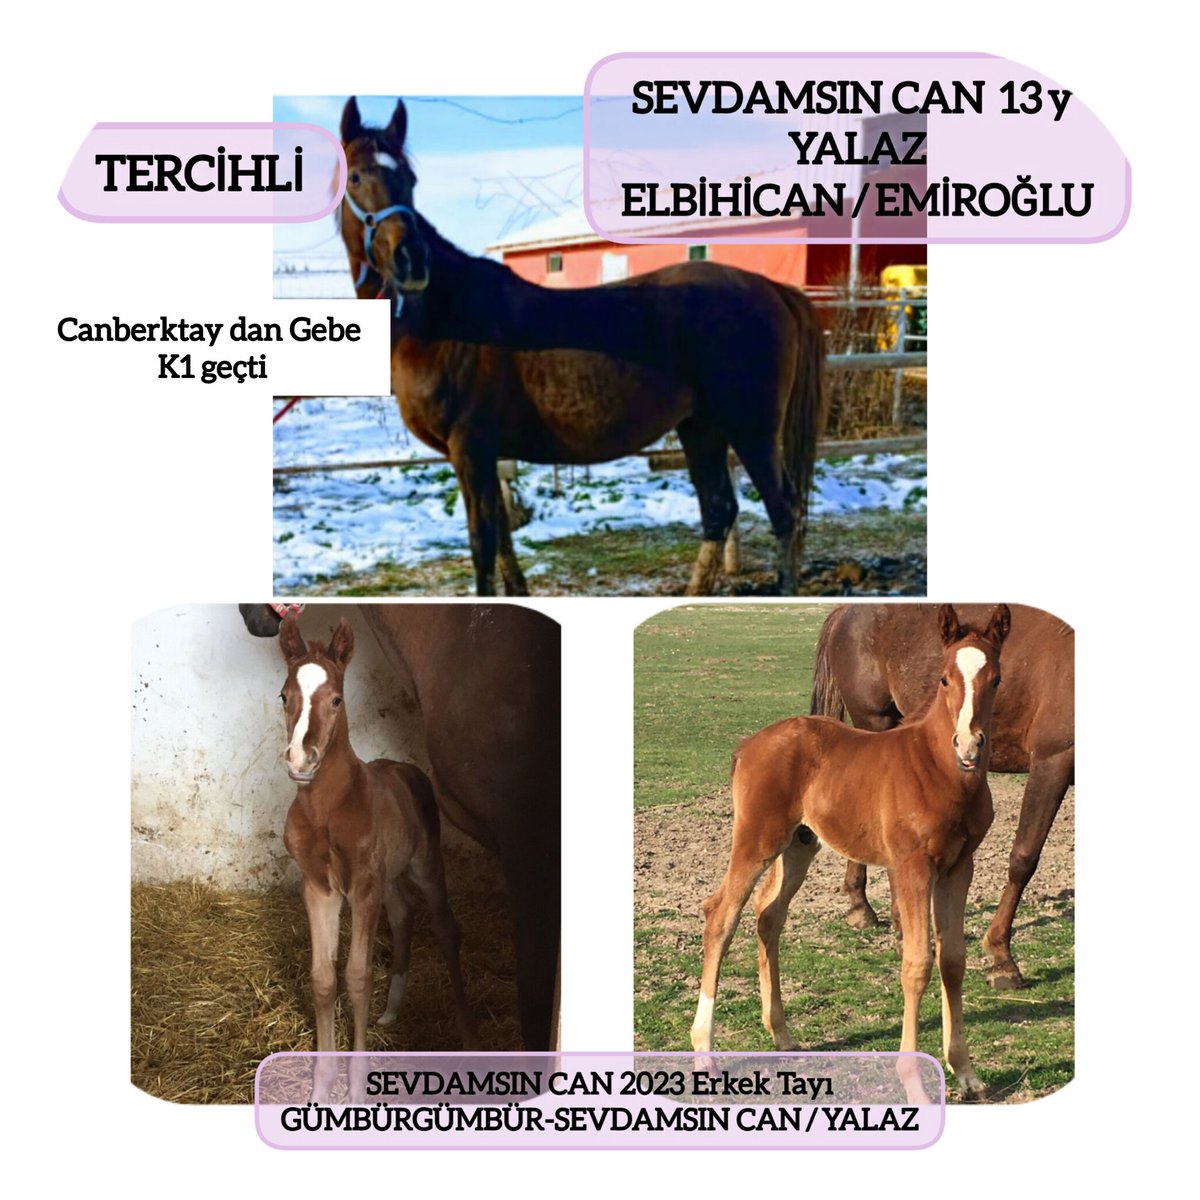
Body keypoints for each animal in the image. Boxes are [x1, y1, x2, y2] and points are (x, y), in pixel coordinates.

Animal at [240, 602, 560, 1052]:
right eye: (284, 696)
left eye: (337, 699)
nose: (302, 759)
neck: (327, 808)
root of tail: (404, 767)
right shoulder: (320, 886)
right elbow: (323, 979)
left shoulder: (365, 886)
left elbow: (358, 976)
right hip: (389, 876)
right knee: (404, 913)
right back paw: (393, 1010)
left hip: (424, 867)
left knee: (446, 930)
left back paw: (468, 1035)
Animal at [336, 96, 826, 597]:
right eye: (355, 176)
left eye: (410, 179)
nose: (412, 261)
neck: (445, 321)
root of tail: (771, 288)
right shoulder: (486, 455)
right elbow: (503, 539)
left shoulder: (469, 449)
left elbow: (482, 544)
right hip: (701, 427)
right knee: (719, 509)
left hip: (752, 429)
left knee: (783, 511)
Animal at [691, 605, 1011, 1103]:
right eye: (943, 678)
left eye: (995, 679)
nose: (969, 745)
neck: (938, 769)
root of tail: (747, 745)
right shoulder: (912, 867)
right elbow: (917, 964)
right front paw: (915, 1084)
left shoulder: (959, 867)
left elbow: (953, 961)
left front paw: (965, 1072)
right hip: (757, 839)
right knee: (721, 915)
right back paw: (704, 1051)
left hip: (798, 844)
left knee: (768, 916)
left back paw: (781, 1034)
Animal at [810, 603, 1074, 988]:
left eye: (998, 680)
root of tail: (846, 611)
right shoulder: (1052, 761)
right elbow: (1024, 858)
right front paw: (1001, 958)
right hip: (874, 721)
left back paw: (862, 904)